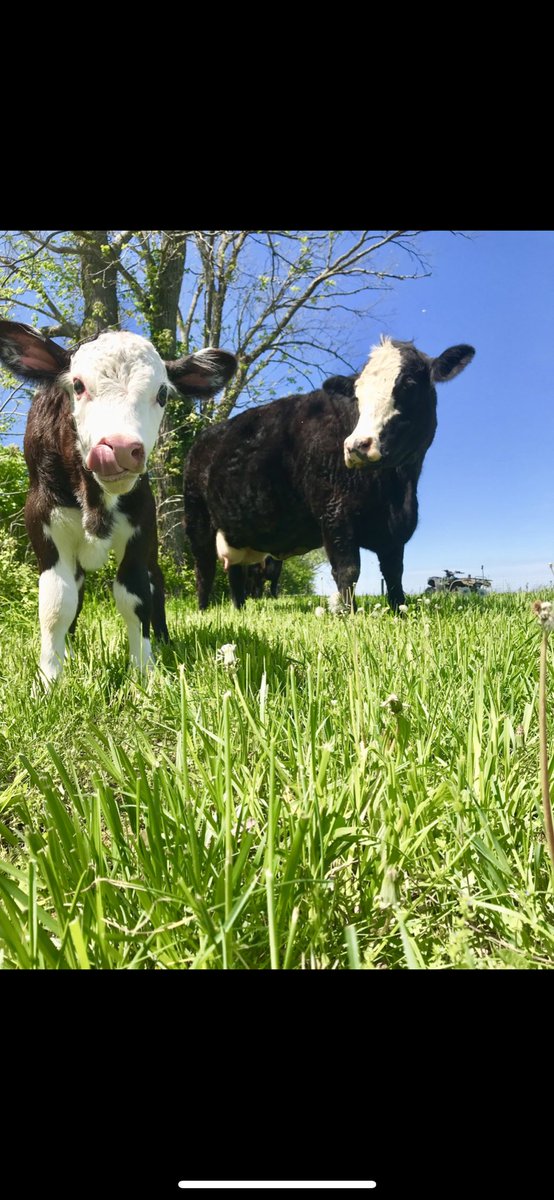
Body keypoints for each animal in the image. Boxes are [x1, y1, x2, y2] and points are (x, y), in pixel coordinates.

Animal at [0, 320, 236, 683]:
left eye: (162, 394)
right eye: (78, 385)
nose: (121, 449)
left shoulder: (141, 523)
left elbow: (135, 595)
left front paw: (145, 673)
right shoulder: (42, 519)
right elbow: (57, 602)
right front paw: (50, 676)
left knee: (155, 584)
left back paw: (164, 640)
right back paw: (70, 650)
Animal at [182, 336, 474, 612]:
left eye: (409, 384)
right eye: (357, 395)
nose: (356, 445)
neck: (395, 488)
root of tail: (205, 436)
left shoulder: (394, 530)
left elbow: (394, 574)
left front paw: (399, 611)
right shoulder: (334, 514)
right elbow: (347, 570)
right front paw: (350, 615)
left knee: (235, 574)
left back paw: (239, 609)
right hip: (197, 520)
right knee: (204, 569)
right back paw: (203, 610)